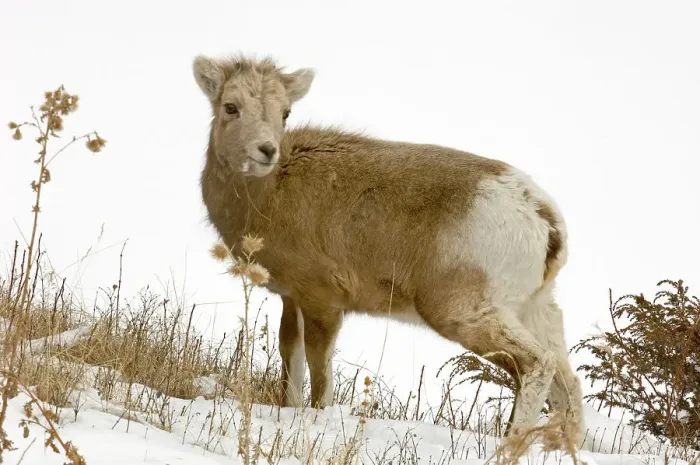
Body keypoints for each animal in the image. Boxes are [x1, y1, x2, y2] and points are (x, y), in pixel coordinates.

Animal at [192, 54, 583, 440]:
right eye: (231, 107)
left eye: (285, 112)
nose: (266, 151)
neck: (268, 194)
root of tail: (538, 212)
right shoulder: (293, 300)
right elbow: (292, 366)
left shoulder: (323, 302)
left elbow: (320, 377)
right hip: (535, 311)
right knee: (568, 386)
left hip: (464, 314)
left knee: (536, 365)